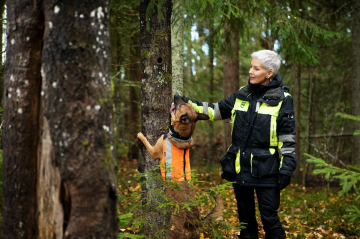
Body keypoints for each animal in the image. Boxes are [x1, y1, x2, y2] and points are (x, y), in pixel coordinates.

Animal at [137, 94, 224, 238]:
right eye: (184, 102)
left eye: (180, 105)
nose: (177, 95)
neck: (181, 136)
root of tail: (195, 222)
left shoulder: (154, 152)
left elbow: (145, 140)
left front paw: (139, 135)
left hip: (172, 232)